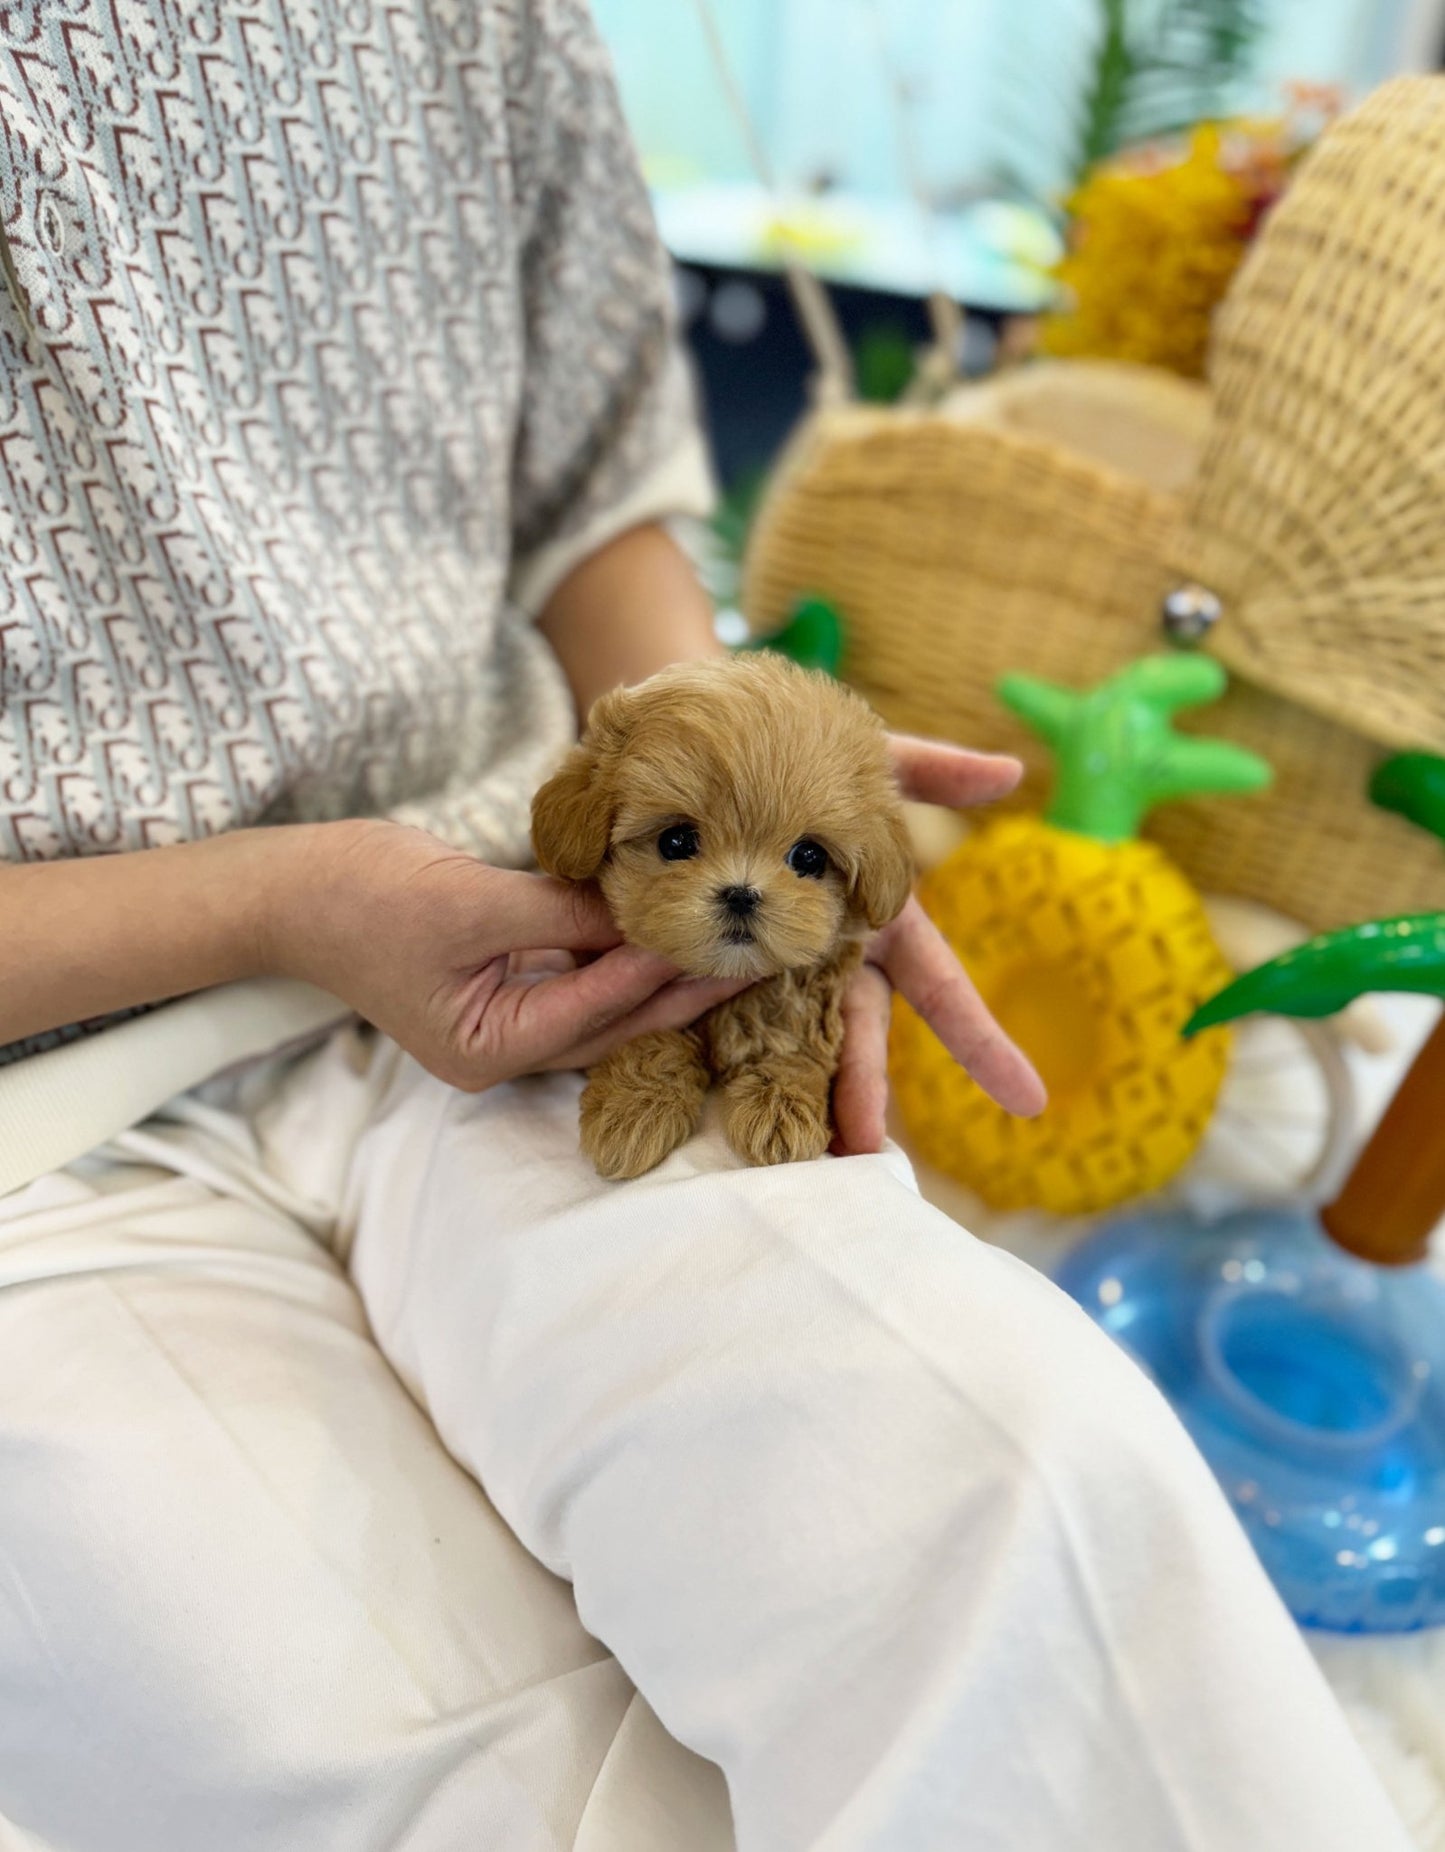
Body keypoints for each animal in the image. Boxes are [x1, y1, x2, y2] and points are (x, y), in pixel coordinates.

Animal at [529, 655, 915, 1170]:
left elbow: (793, 1046)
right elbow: (650, 1039)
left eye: (809, 857)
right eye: (675, 842)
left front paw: (781, 1106)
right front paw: (633, 1108)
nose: (741, 894)